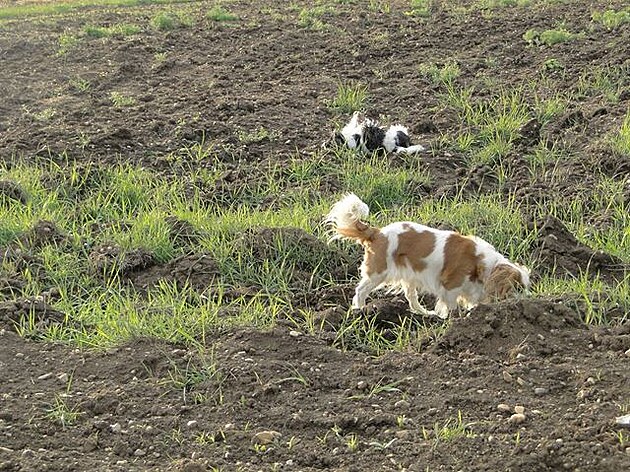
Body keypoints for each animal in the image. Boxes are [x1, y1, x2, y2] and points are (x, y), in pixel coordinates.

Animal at [328, 194, 532, 318]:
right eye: (518, 288)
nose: (529, 299)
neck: (480, 264)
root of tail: (377, 233)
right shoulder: (450, 288)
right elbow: (451, 307)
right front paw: (453, 320)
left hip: (409, 276)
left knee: (411, 298)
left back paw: (424, 313)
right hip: (378, 273)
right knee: (360, 291)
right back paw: (361, 311)